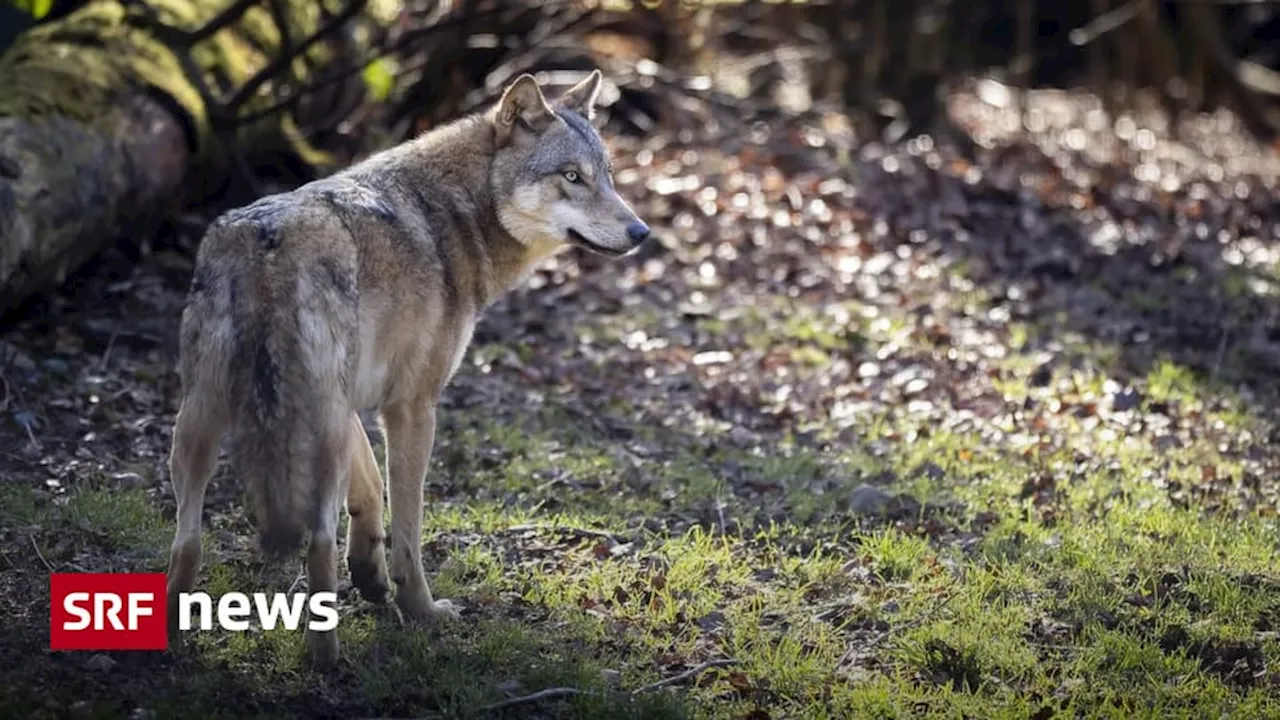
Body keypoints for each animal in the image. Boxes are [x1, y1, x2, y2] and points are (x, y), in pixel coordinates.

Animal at [163, 70, 650, 666]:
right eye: (572, 177)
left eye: (607, 177)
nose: (641, 232)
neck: (455, 213)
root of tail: (267, 242)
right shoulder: (413, 406)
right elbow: (411, 526)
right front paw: (420, 608)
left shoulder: (354, 401)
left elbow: (371, 486)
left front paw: (370, 575)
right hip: (305, 429)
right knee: (316, 539)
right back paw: (327, 661)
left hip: (204, 421)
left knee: (187, 541)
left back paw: (172, 643)